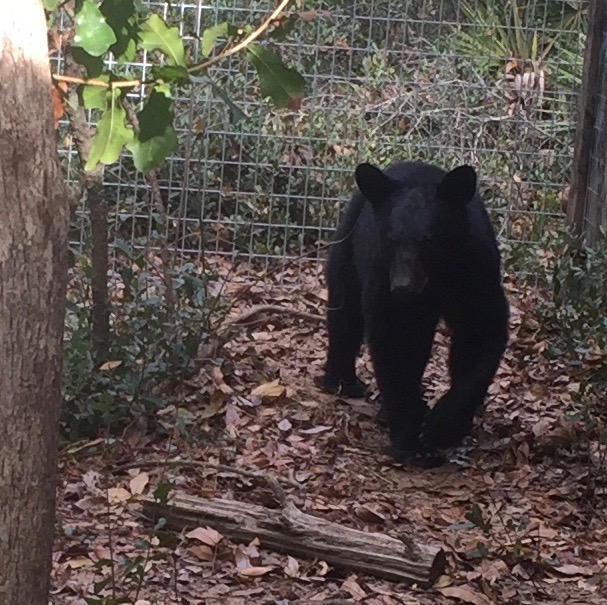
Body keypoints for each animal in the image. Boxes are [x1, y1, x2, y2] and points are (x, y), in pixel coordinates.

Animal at [316, 160, 509, 466]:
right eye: (391, 239)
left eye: (429, 240)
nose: (403, 286)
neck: (436, 281)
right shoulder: (384, 281)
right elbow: (394, 345)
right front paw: (411, 441)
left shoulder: (476, 275)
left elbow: (479, 337)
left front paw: (443, 425)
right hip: (346, 247)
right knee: (344, 314)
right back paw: (343, 382)